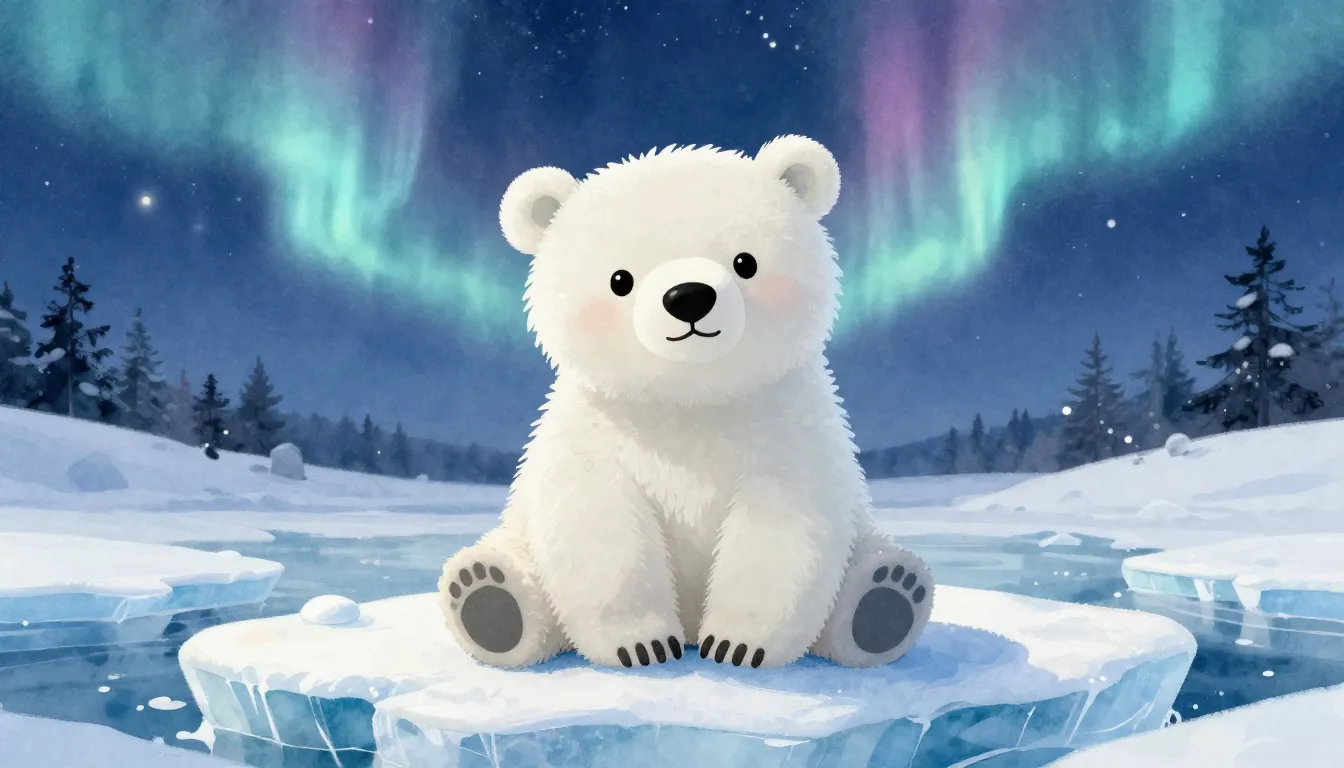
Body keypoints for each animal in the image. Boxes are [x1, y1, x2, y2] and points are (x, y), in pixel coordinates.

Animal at [438, 135, 935, 670]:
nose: (689, 297)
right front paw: (641, 644)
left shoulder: (786, 426)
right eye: (620, 279)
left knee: (865, 564)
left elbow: (782, 528)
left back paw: (886, 598)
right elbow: (600, 525)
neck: (689, 405)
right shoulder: (597, 432)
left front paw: (740, 644)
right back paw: (488, 599)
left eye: (745, 261)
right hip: (519, 531)